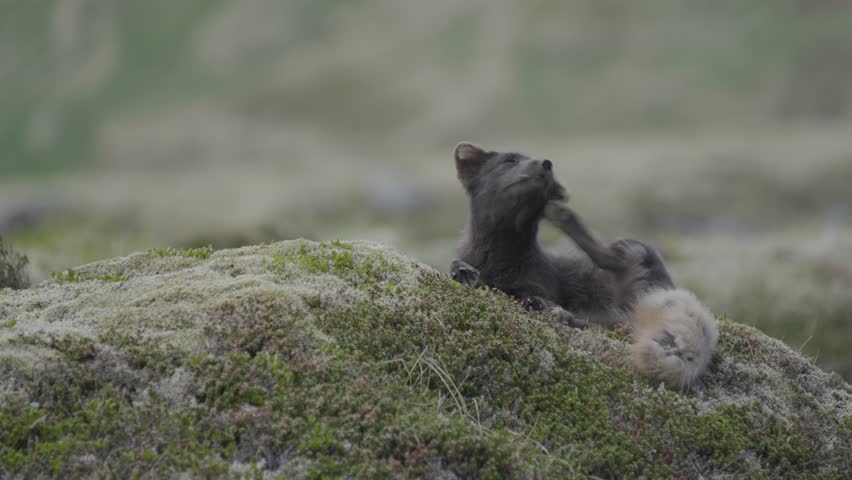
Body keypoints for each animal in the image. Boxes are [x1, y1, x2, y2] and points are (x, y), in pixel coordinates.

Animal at [449, 142, 718, 389]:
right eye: (509, 160)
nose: (546, 163)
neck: (500, 260)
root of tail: (666, 286)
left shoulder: (538, 284)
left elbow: (522, 293)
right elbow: (462, 270)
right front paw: (463, 272)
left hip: (630, 252)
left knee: (605, 265)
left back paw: (562, 220)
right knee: (606, 324)